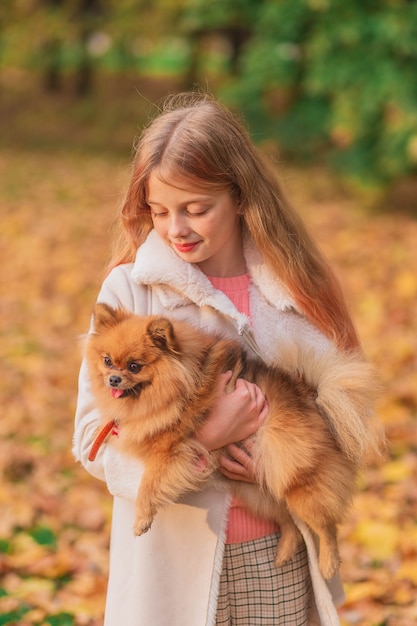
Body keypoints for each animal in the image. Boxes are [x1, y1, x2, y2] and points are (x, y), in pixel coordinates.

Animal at [85, 300, 384, 576]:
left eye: (134, 366)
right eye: (107, 360)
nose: (113, 379)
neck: (172, 388)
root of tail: (312, 397)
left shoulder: (169, 451)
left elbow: (148, 485)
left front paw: (142, 519)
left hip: (298, 483)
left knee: (326, 525)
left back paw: (329, 562)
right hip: (259, 488)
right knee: (288, 520)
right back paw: (284, 552)